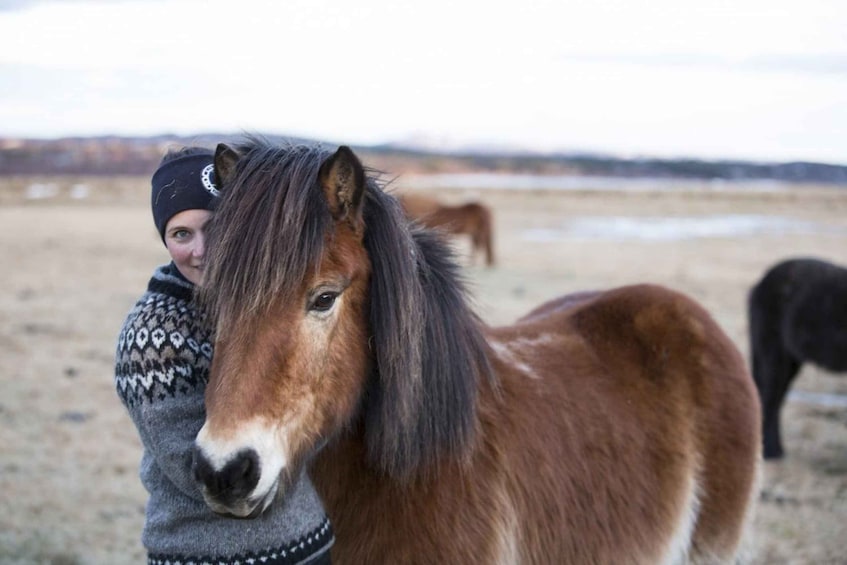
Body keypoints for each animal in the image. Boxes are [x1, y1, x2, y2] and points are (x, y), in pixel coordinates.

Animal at [748, 256, 847, 458]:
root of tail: (760, 284)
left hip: (789, 360)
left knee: (774, 398)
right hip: (772, 353)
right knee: (769, 397)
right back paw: (770, 452)